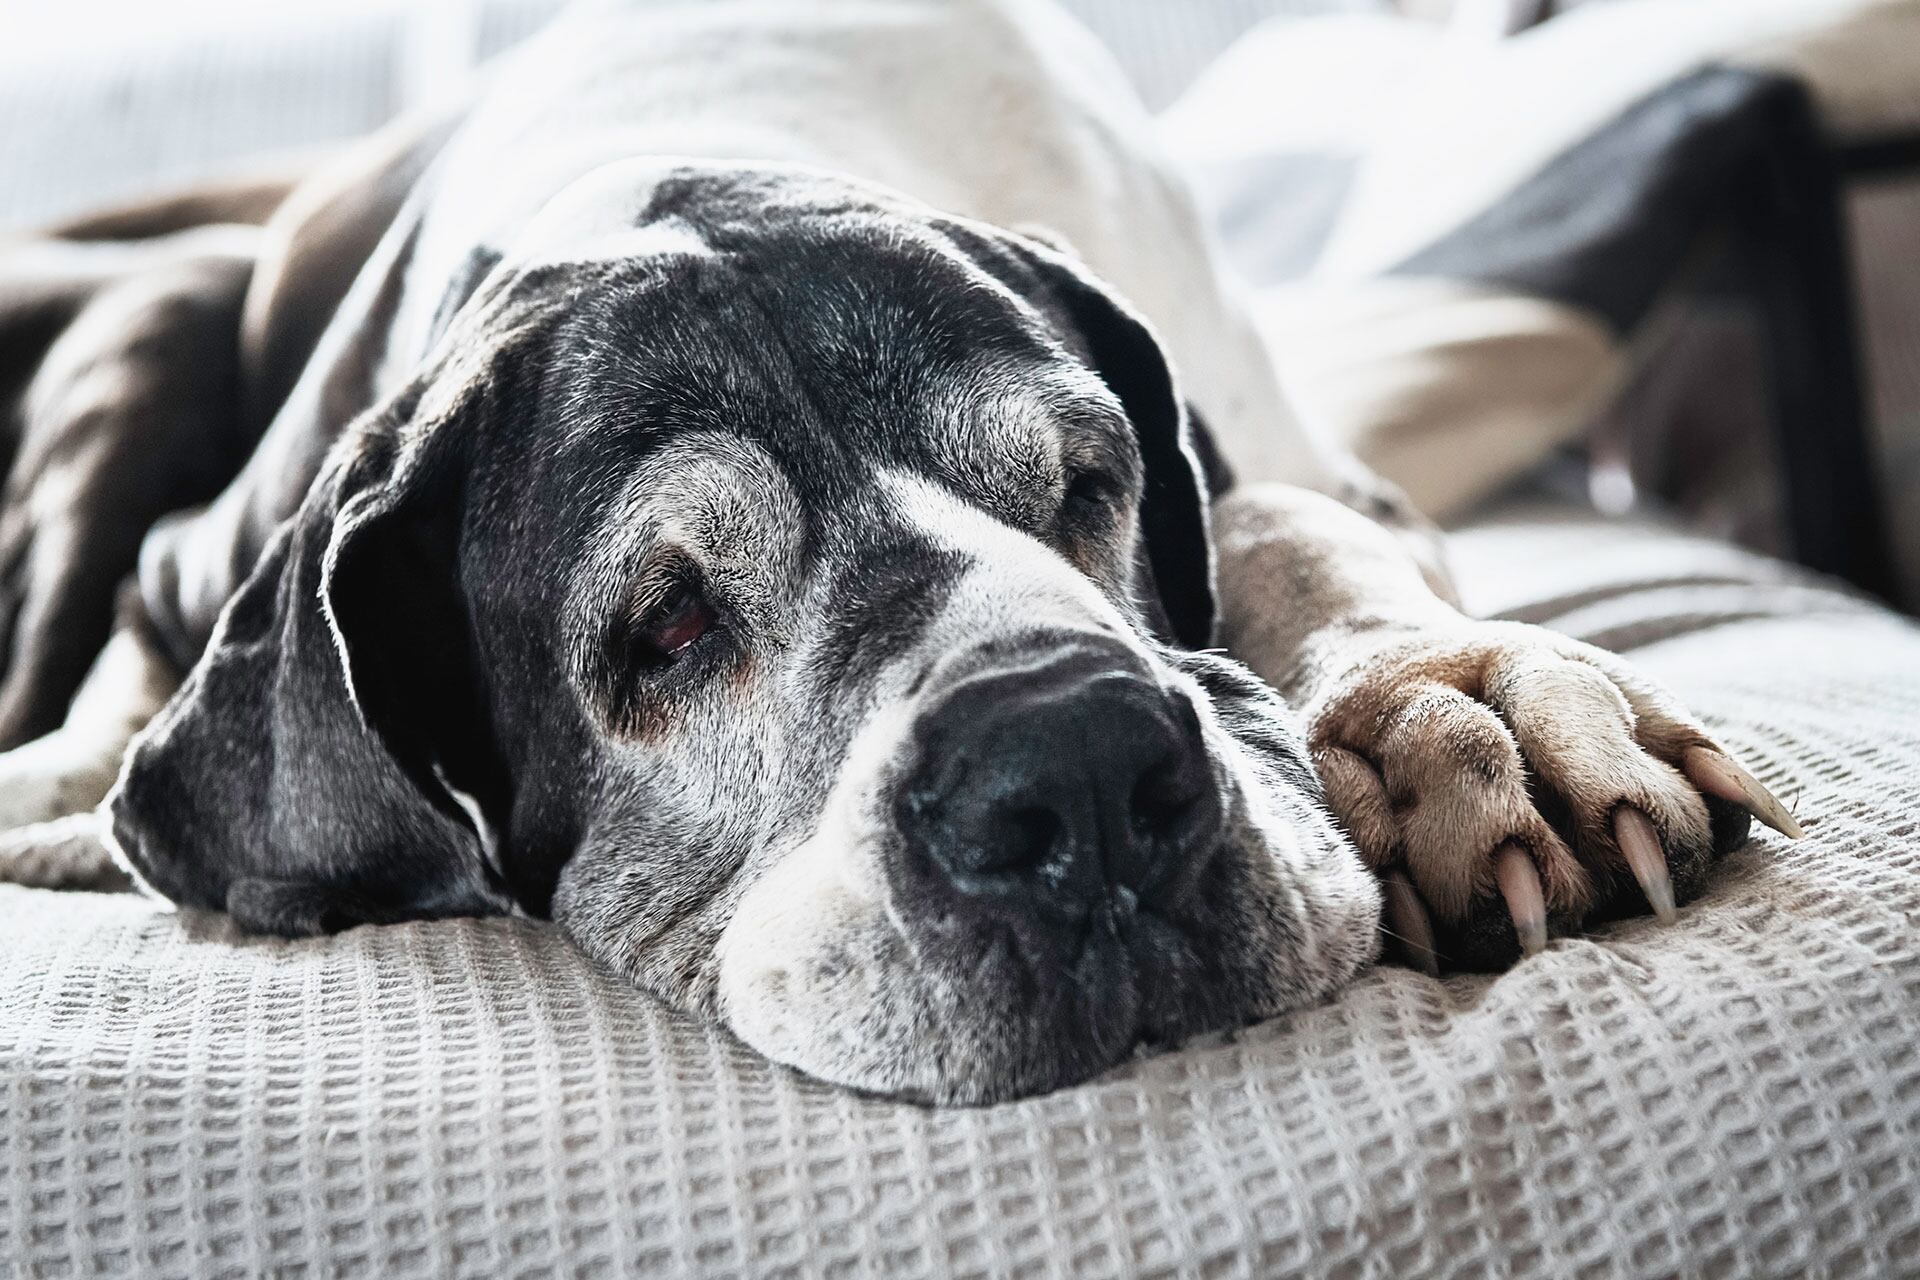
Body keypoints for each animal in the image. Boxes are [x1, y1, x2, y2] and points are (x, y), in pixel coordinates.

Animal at [0, 0, 1797, 1105]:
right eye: (664, 627)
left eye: (1089, 484)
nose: (1076, 773)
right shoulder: (199, 556)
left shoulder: (1288, 455)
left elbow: (1288, 523)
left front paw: (1456, 705)